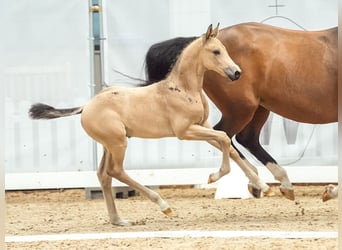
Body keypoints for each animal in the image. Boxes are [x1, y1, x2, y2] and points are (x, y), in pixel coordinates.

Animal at [29, 24, 268, 226]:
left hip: (109, 144)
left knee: (104, 175)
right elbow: (224, 140)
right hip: (118, 143)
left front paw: (261, 185)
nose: (236, 73)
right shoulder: (185, 131)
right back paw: (163, 205)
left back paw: (118, 220)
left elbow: (228, 145)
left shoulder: (203, 125)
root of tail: (86, 106)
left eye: (225, 49)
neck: (183, 90)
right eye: (216, 51)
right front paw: (214, 176)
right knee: (116, 171)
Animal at [144, 22, 336, 200]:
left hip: (258, 108)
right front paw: (332, 191)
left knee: (243, 138)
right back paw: (258, 181)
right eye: (216, 52)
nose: (236, 73)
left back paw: (270, 183)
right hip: (242, 108)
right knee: (224, 135)